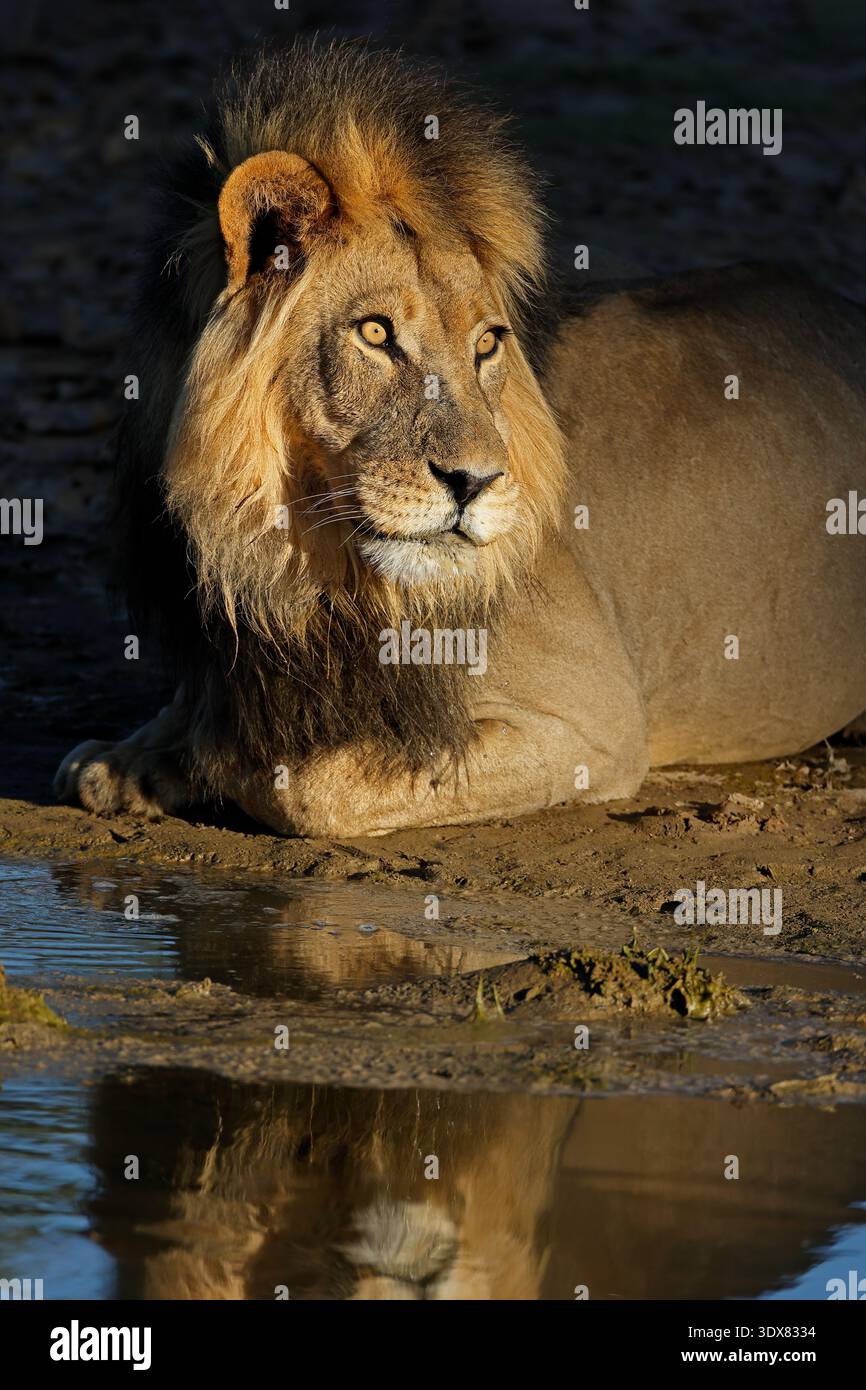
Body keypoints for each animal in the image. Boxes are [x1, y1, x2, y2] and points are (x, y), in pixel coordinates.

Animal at [55, 38, 866, 838]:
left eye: (486, 345)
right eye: (375, 333)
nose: (475, 482)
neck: (297, 574)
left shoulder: (594, 727)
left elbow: (312, 788)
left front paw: (218, 768)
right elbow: (105, 759)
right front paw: (134, 762)